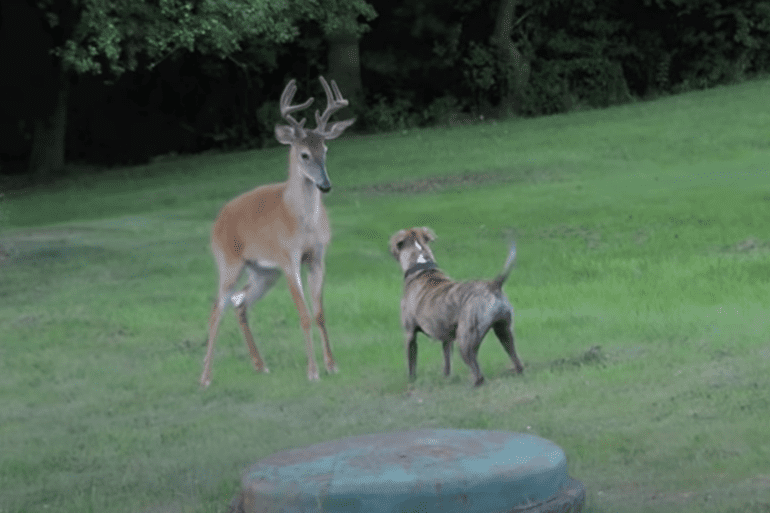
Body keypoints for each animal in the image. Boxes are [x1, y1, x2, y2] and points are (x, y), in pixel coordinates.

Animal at [199, 76, 355, 388]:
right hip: (229, 261)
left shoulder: (317, 257)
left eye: (325, 150)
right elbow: (304, 315)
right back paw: (206, 377)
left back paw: (260, 366)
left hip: (263, 271)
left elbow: (319, 313)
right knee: (216, 308)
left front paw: (332, 366)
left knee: (240, 303)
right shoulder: (288, 258)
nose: (326, 185)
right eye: (304, 154)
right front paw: (313, 372)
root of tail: (218, 219)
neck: (301, 222)